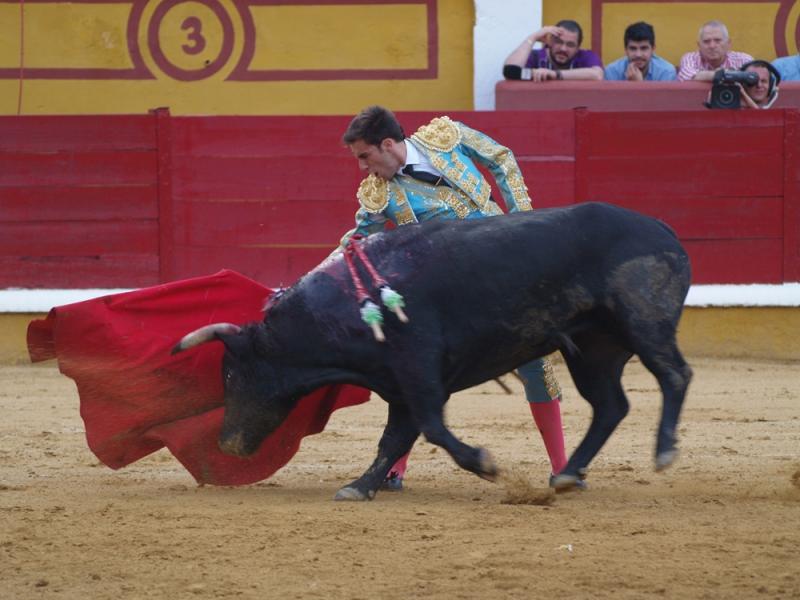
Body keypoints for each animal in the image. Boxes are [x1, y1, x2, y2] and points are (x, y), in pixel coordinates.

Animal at [175, 204, 692, 500]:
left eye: (231, 375)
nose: (227, 443)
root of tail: (661, 228)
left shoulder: (418, 370)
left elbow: (430, 428)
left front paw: (485, 464)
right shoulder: (398, 384)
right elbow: (393, 439)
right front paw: (361, 487)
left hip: (643, 321)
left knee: (673, 375)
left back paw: (665, 451)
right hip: (592, 349)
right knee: (610, 406)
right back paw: (566, 475)